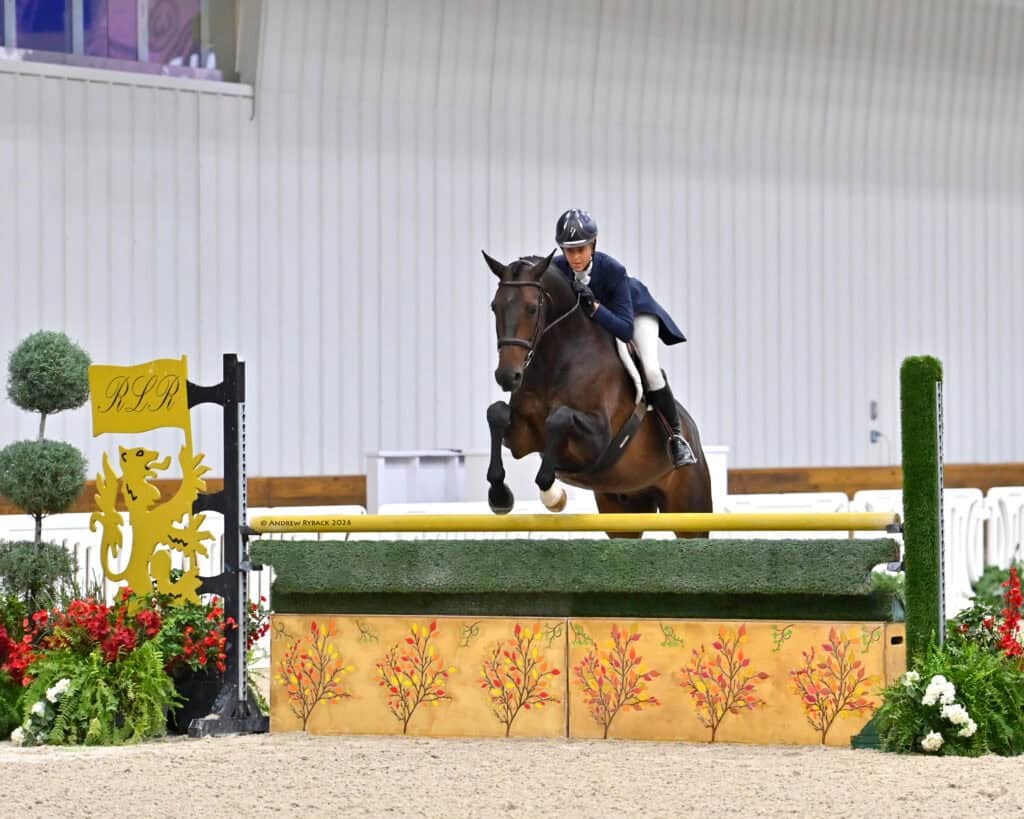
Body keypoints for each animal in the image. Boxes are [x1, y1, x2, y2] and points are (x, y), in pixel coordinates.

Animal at [482, 250, 713, 538]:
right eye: (495, 307)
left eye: (532, 308)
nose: (507, 376)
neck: (555, 359)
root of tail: (694, 436)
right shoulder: (522, 439)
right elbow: (497, 413)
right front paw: (499, 495)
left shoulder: (598, 440)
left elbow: (559, 418)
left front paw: (554, 496)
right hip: (623, 511)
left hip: (690, 512)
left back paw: (680, 450)